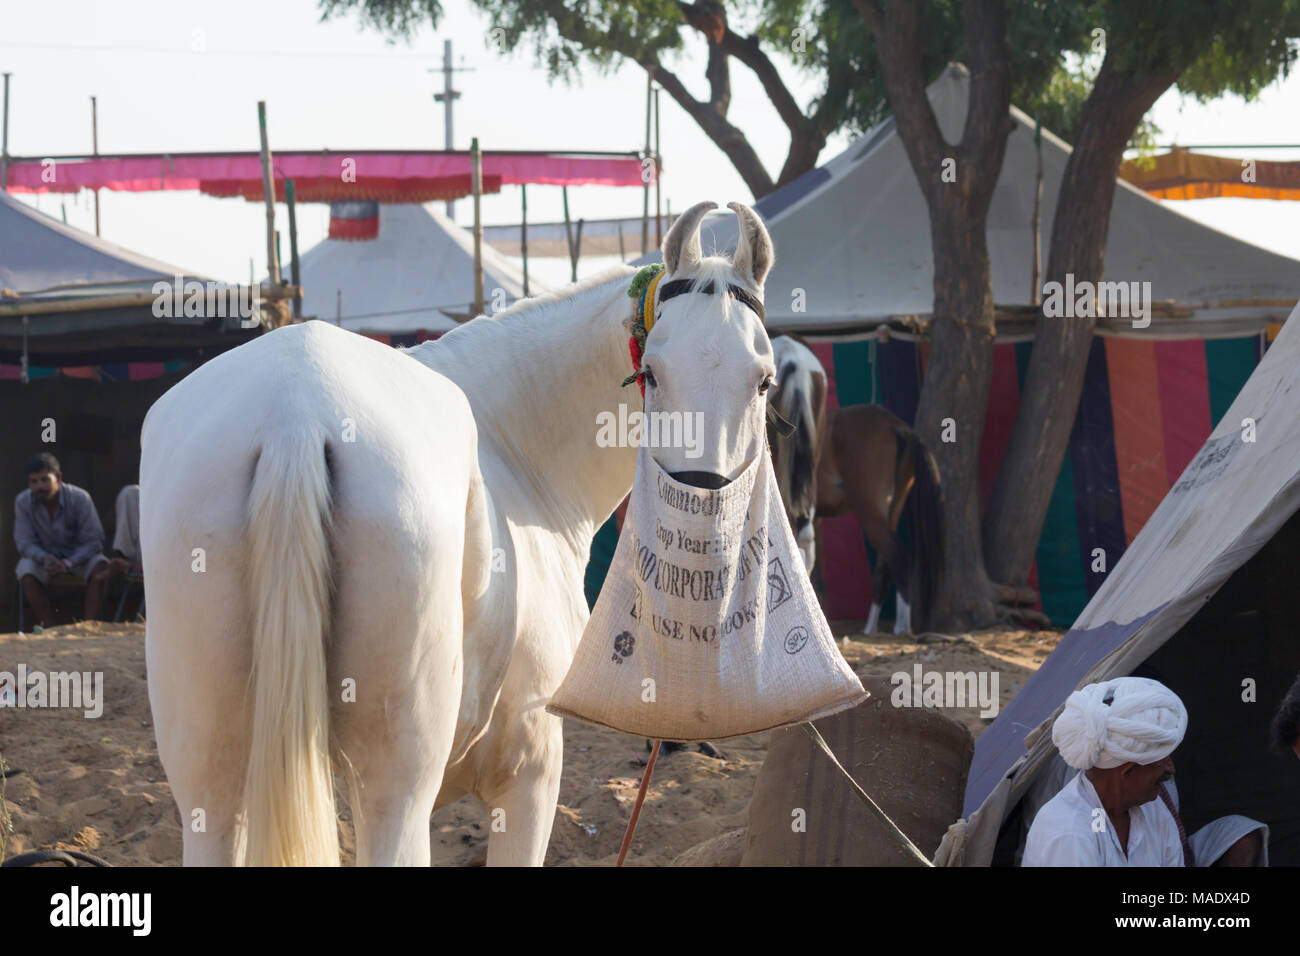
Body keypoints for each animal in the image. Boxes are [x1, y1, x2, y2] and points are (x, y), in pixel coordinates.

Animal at [142, 200, 769, 868]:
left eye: (762, 380)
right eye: (652, 373)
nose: (700, 520)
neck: (511, 441)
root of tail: (295, 412)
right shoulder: (530, 770)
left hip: (212, 787)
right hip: (397, 791)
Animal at [764, 335, 941, 634]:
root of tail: (897, 426)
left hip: (867, 507)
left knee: (897, 557)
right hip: (890, 506)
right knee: (884, 563)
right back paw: (874, 627)